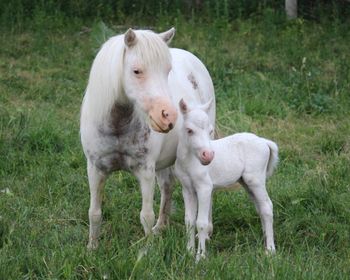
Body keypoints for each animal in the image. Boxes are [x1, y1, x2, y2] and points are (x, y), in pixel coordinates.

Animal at [175, 99, 278, 260]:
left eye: (210, 131)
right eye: (189, 130)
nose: (208, 155)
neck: (189, 162)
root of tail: (264, 141)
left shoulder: (205, 187)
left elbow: (201, 223)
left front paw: (200, 257)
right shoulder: (187, 189)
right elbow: (189, 221)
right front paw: (188, 252)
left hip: (255, 180)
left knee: (267, 206)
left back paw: (270, 250)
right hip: (246, 182)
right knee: (261, 207)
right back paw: (265, 240)